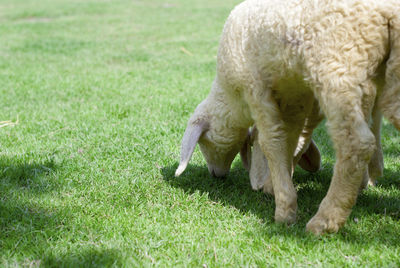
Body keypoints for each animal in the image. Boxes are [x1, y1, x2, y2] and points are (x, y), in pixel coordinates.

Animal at [176, 0, 400, 234]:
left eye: (203, 143)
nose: (216, 175)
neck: (233, 98)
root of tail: (387, 11)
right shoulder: (296, 99)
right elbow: (291, 140)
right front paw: (277, 185)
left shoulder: (255, 88)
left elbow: (272, 143)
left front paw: (284, 210)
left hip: (337, 68)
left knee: (357, 143)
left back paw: (324, 221)